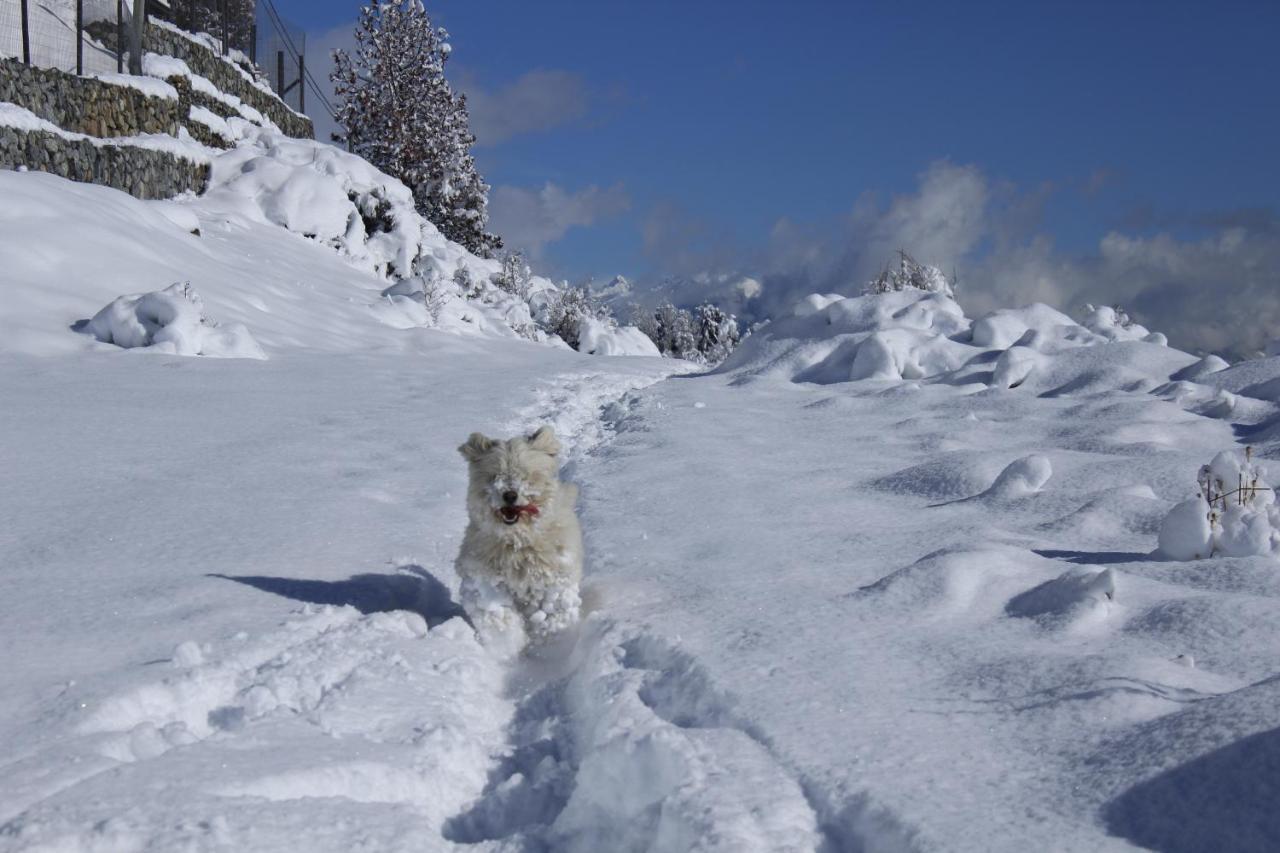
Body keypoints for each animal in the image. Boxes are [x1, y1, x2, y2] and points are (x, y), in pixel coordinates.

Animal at [455, 425, 586, 650]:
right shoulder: (484, 578)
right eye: (495, 475)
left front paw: (551, 647)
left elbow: (552, 616)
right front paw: (507, 645)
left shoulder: (553, 582)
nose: (509, 495)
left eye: (525, 475)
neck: (518, 542)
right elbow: (498, 614)